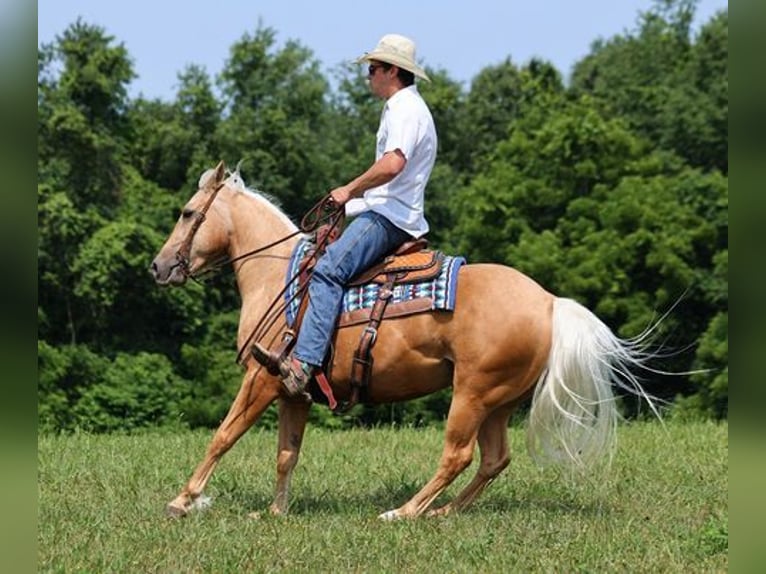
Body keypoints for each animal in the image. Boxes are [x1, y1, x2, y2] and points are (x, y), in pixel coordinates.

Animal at [150, 162, 660, 520]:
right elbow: (285, 455)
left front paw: (182, 500)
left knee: (458, 455)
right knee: (495, 459)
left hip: (471, 394)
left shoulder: (261, 379)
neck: (281, 278)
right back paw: (443, 512)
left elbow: (223, 436)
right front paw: (275, 512)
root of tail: (550, 302)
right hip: (498, 401)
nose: (158, 266)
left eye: (188, 212)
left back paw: (404, 511)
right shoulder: (295, 391)